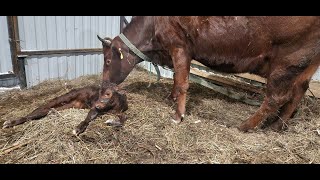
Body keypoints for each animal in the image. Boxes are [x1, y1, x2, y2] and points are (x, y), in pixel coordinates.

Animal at [97, 16, 320, 132]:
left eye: (107, 61)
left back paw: (245, 125)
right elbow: (177, 77)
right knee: (299, 91)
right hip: (306, 64)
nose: (104, 85)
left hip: (288, 60)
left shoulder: (179, 46)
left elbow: (182, 82)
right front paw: (171, 98)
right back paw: (277, 125)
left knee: (276, 97)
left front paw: (177, 115)